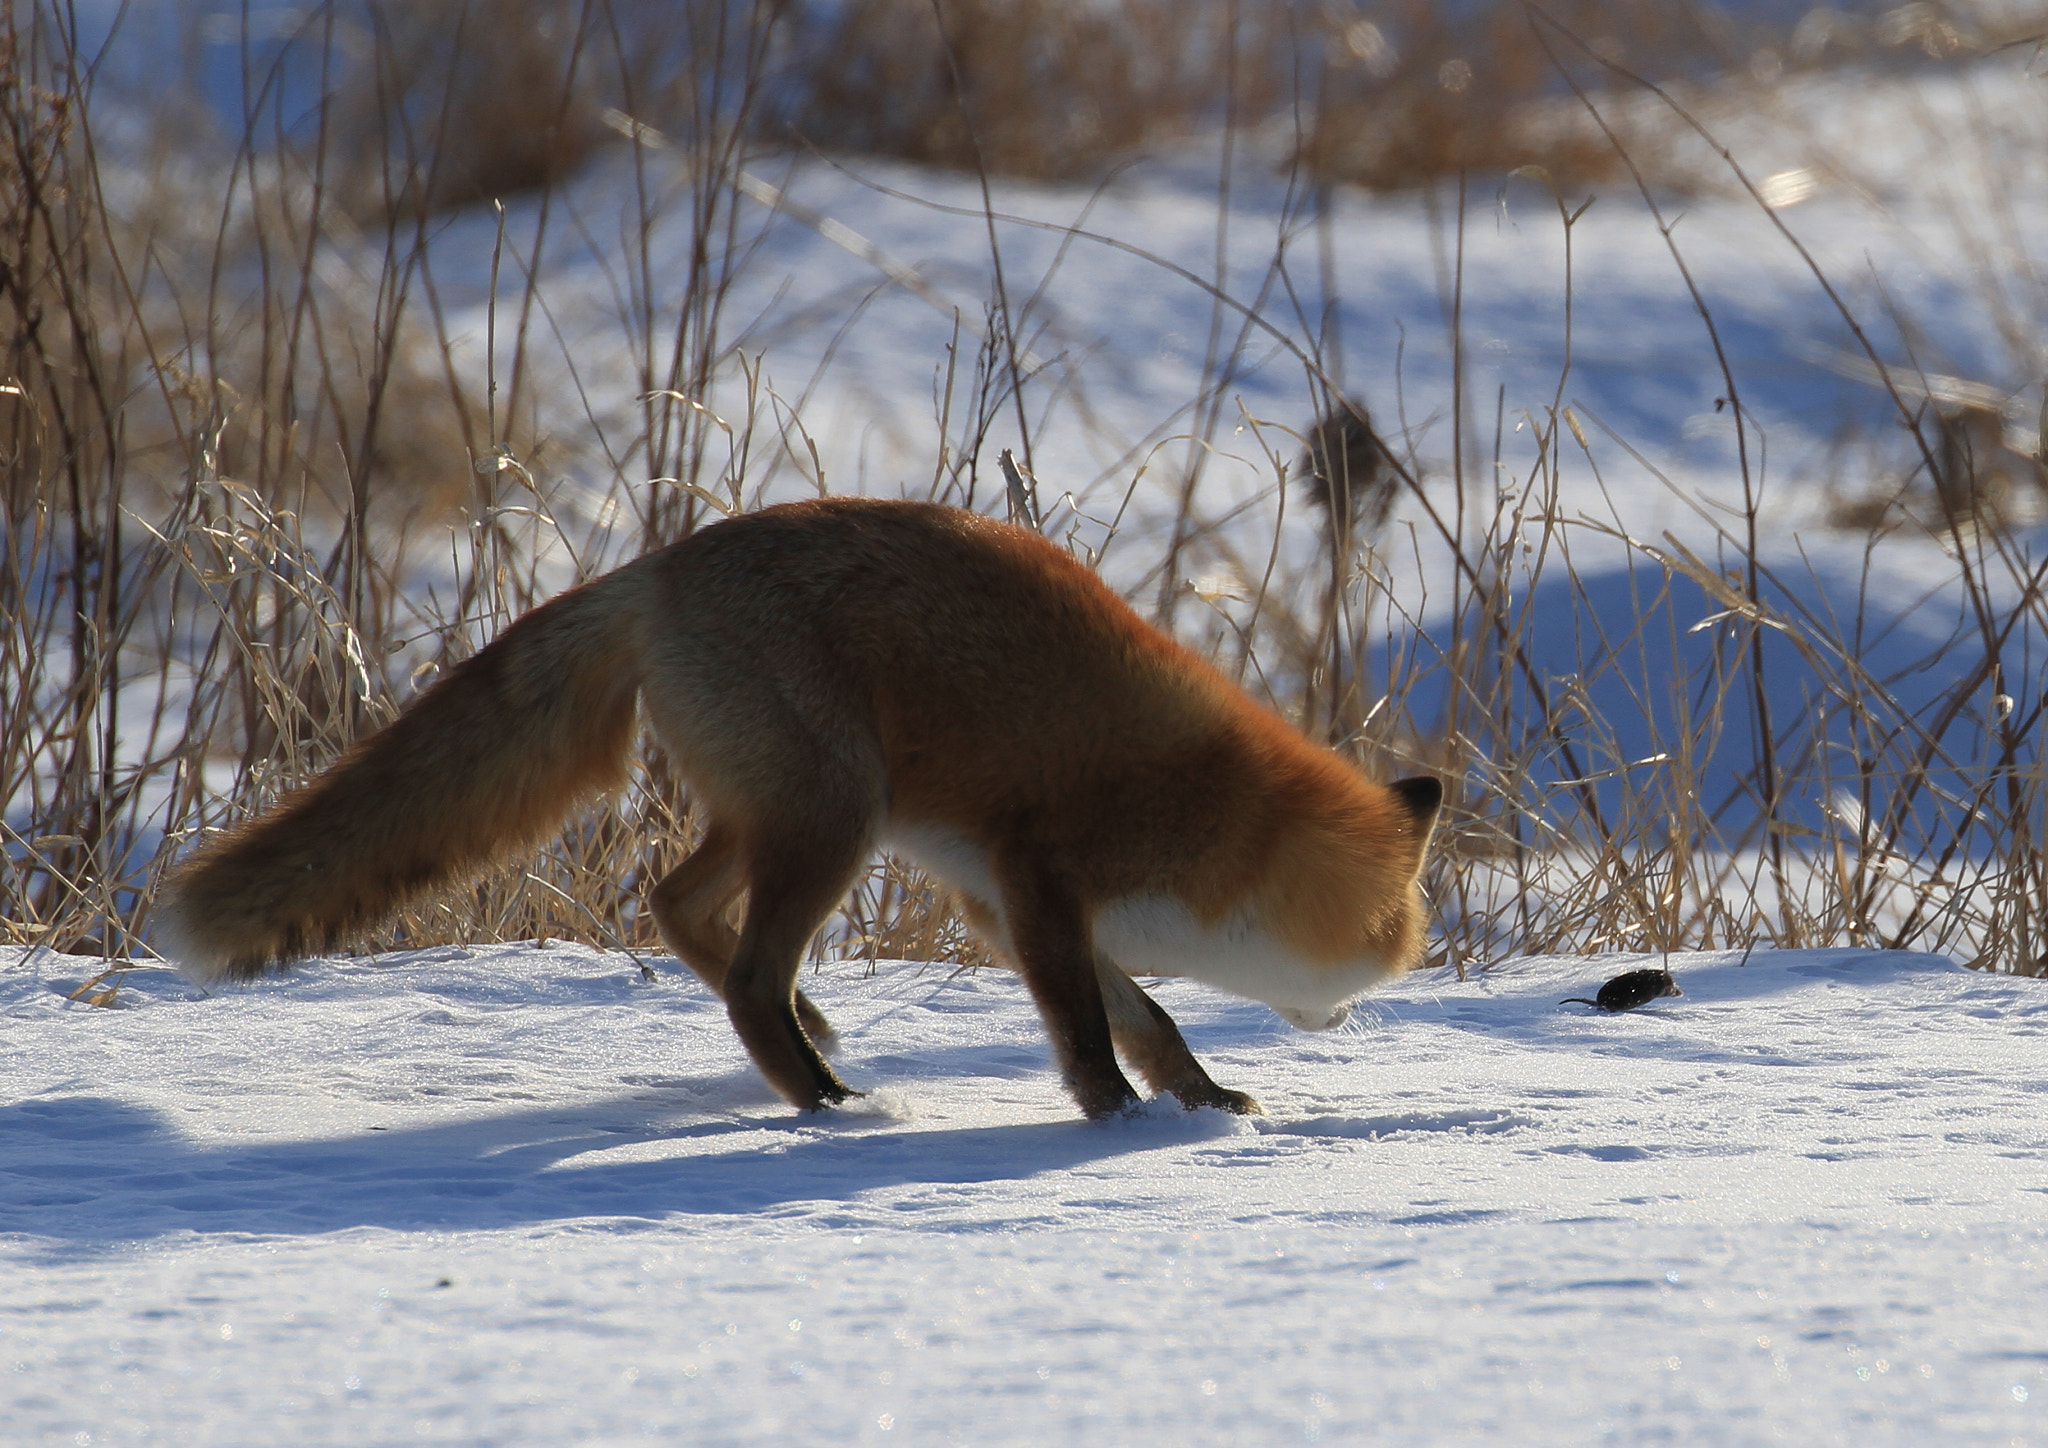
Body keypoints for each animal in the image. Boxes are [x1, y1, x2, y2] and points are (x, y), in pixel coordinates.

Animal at [158, 496, 1441, 1120]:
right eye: (1396, 940)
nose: (1349, 1017)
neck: (1223, 823)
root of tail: (660, 566)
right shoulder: (1037, 879)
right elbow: (1087, 1027)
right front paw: (1114, 1119)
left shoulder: (1002, 906)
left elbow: (1152, 1017)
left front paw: (1198, 1102)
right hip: (836, 818)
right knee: (742, 974)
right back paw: (824, 1099)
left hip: (782, 815)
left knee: (674, 901)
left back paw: (811, 1038)